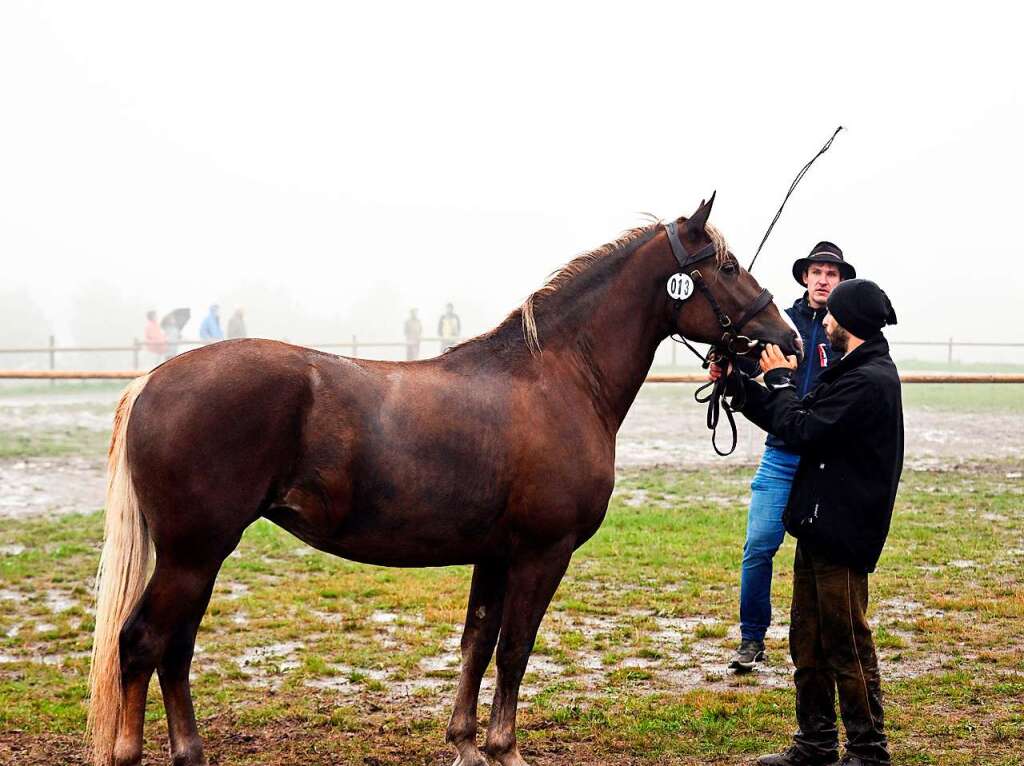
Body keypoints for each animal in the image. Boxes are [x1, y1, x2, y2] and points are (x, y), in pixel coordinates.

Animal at [88, 194, 802, 761]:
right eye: (728, 268)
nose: (788, 338)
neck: (559, 378)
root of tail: (152, 380)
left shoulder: (496, 554)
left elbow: (476, 643)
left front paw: (464, 744)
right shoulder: (543, 553)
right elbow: (514, 648)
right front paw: (504, 748)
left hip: (199, 557)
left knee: (175, 649)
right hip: (194, 553)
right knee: (144, 643)